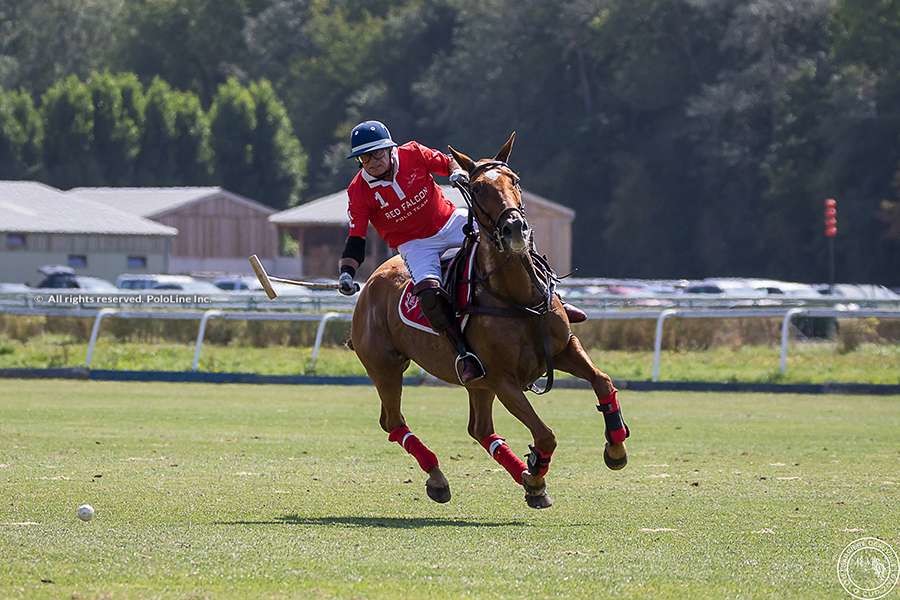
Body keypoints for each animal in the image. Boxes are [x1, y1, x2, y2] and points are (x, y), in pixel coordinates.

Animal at [348, 134, 628, 508]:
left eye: (516, 180)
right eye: (478, 188)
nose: (514, 229)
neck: (517, 297)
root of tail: (370, 283)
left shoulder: (563, 349)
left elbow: (603, 381)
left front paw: (615, 448)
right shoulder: (502, 379)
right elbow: (546, 435)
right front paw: (537, 474)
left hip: (476, 384)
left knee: (479, 428)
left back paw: (520, 474)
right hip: (386, 367)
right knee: (392, 421)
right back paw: (438, 477)